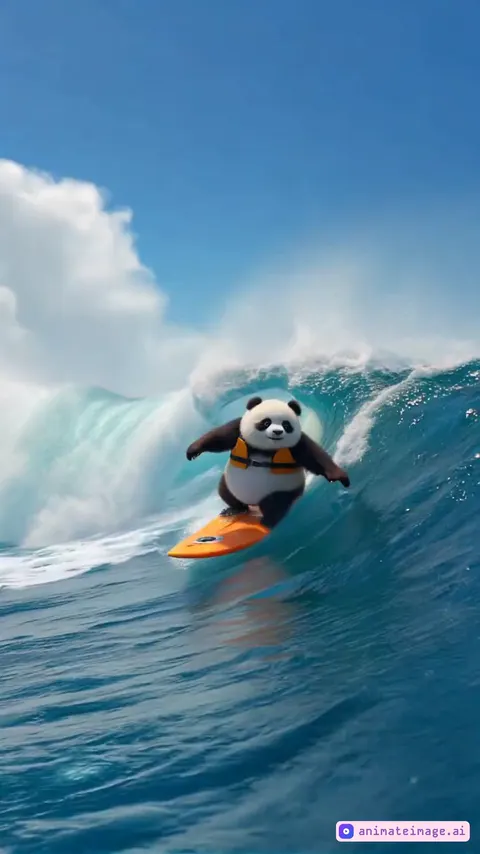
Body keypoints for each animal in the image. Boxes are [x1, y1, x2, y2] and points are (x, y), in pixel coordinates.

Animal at [186, 396, 350, 530]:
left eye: (286, 425)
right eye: (266, 422)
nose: (277, 432)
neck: (265, 448)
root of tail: (253, 504)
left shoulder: (297, 444)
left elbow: (315, 457)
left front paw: (339, 476)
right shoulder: (238, 429)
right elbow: (218, 437)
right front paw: (193, 451)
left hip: (282, 489)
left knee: (275, 504)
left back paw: (267, 521)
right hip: (230, 484)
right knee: (225, 491)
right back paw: (235, 510)